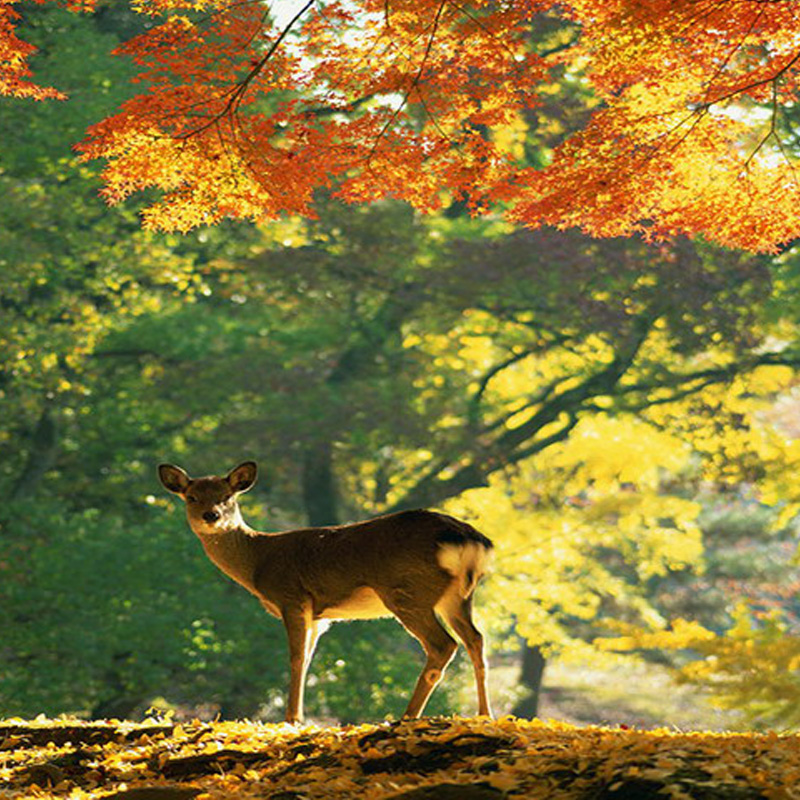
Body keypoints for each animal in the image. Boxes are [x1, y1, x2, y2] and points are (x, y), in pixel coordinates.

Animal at [157, 456, 494, 724]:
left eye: (227, 496)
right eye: (191, 497)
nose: (211, 515)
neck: (258, 562)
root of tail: (470, 539)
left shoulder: (292, 597)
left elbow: (294, 658)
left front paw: (292, 719)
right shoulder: (321, 617)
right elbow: (307, 660)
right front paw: (298, 715)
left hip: (408, 593)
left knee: (443, 645)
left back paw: (407, 715)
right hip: (458, 597)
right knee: (476, 640)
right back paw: (484, 714)